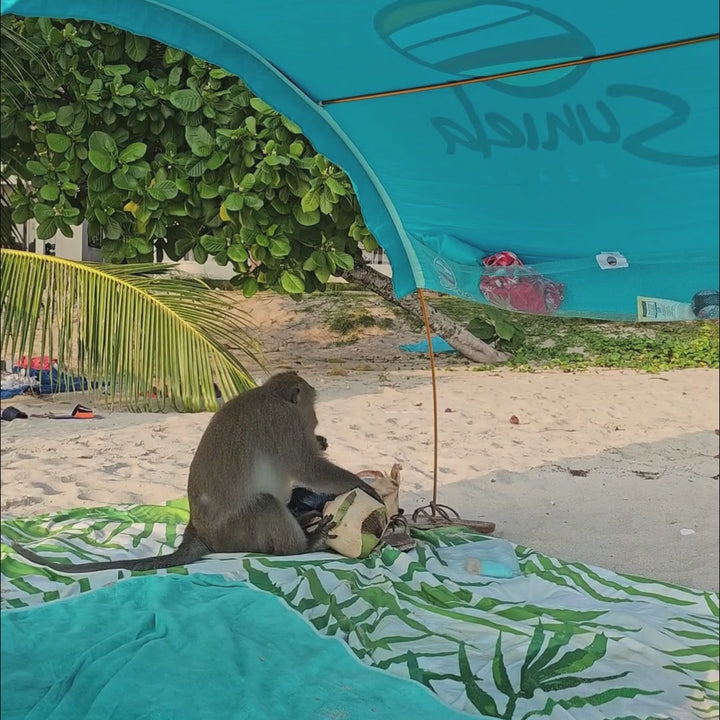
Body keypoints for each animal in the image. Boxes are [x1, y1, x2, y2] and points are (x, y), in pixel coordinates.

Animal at [12, 371, 383, 572]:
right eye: (312, 410)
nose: (317, 423)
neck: (267, 393)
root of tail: (197, 530)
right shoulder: (283, 422)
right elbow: (306, 468)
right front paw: (363, 485)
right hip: (235, 533)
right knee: (265, 503)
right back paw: (305, 545)